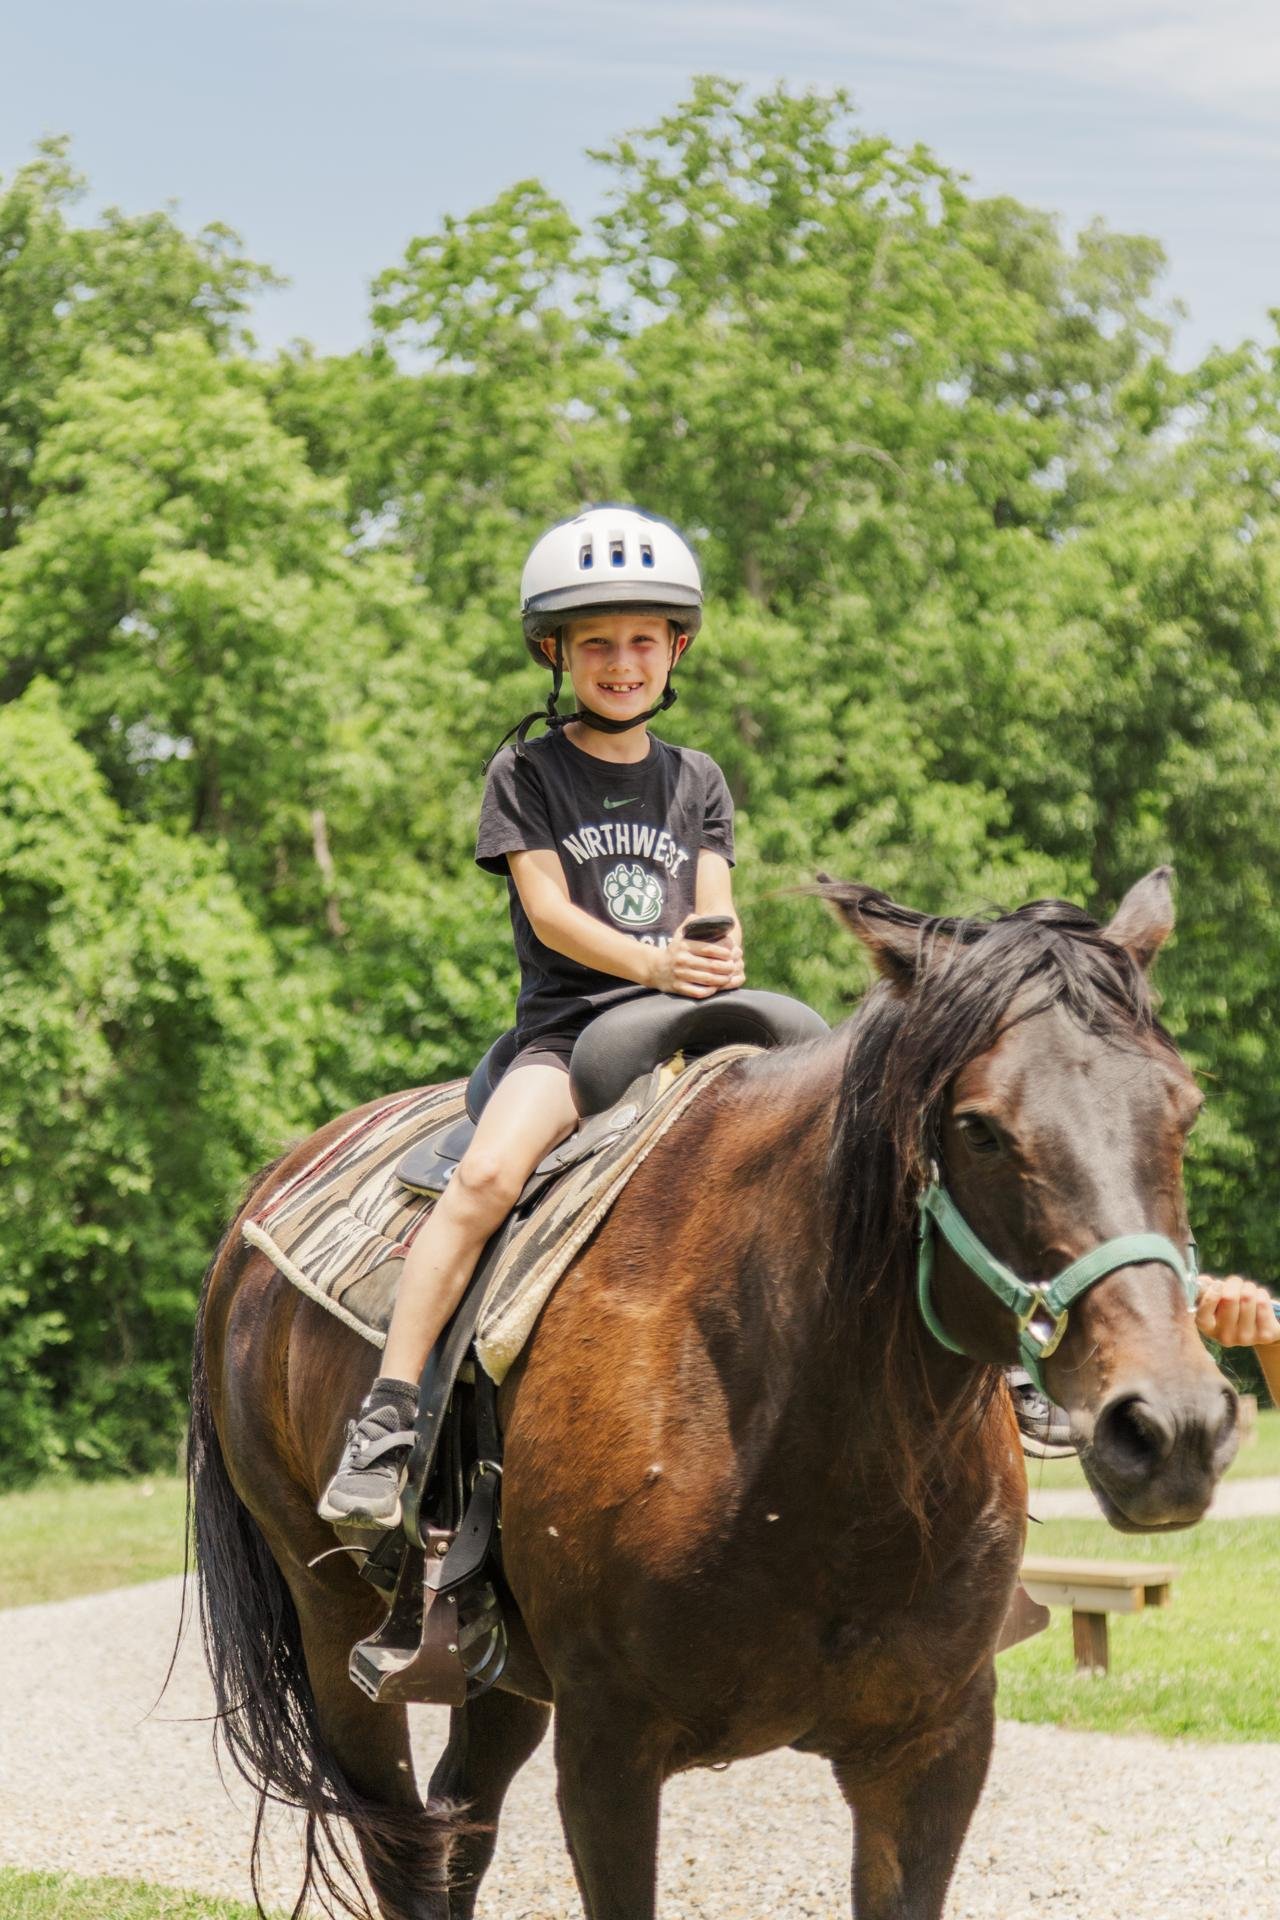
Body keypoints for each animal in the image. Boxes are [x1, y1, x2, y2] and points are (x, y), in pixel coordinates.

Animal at [189, 867, 1238, 1920]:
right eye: (979, 1129)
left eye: (1182, 1112)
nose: (1171, 1427)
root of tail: (259, 1206)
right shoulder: (608, 1749)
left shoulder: (932, 1749)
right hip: (337, 1628)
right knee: (404, 1850)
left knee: (458, 1827)